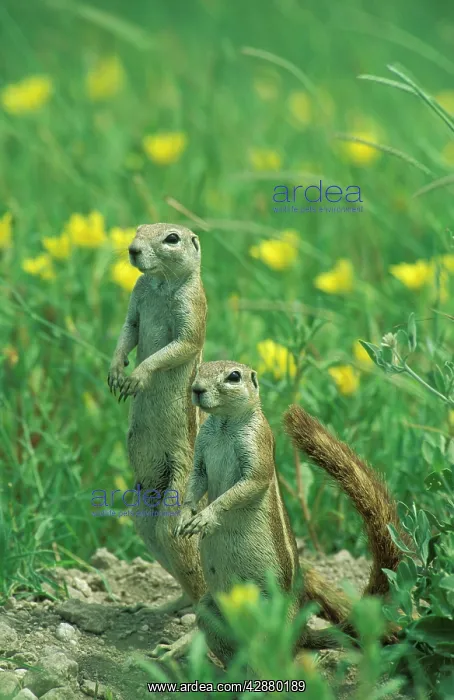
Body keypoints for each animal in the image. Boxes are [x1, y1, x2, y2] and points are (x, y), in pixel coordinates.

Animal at [107, 223, 208, 615]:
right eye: (138, 229)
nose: (132, 250)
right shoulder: (136, 301)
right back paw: (161, 607)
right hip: (141, 514)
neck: (160, 284)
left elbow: (177, 346)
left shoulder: (192, 310)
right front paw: (116, 370)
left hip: (178, 498)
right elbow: (127, 330)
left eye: (172, 238)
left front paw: (137, 377)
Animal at [177, 361, 402, 665]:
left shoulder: (257, 448)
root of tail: (301, 633)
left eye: (234, 376)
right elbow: (195, 483)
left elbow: (245, 486)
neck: (223, 424)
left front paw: (206, 516)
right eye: (198, 370)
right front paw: (184, 516)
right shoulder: (200, 452)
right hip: (209, 610)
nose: (197, 390)